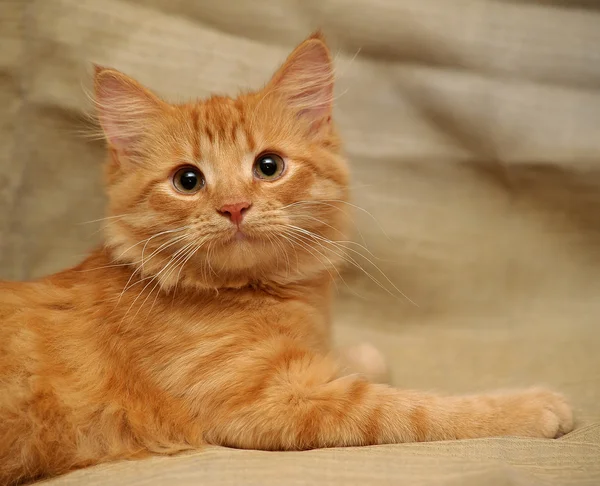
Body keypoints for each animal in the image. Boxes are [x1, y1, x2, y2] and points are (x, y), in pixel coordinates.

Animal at [0, 32, 576, 484]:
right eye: (188, 180)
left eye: (269, 166)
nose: (234, 206)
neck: (260, 293)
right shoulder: (267, 404)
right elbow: (413, 408)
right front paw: (529, 406)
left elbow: (357, 359)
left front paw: (356, 353)